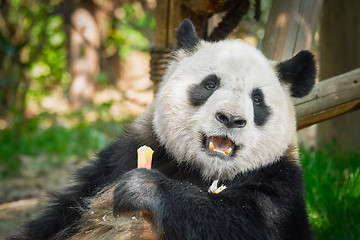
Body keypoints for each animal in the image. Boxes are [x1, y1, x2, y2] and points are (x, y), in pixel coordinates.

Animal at [9, 19, 316, 240]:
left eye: (257, 100)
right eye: (210, 84)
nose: (230, 119)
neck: (203, 171)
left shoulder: (278, 185)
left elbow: (244, 223)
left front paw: (144, 188)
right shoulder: (120, 159)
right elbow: (59, 216)